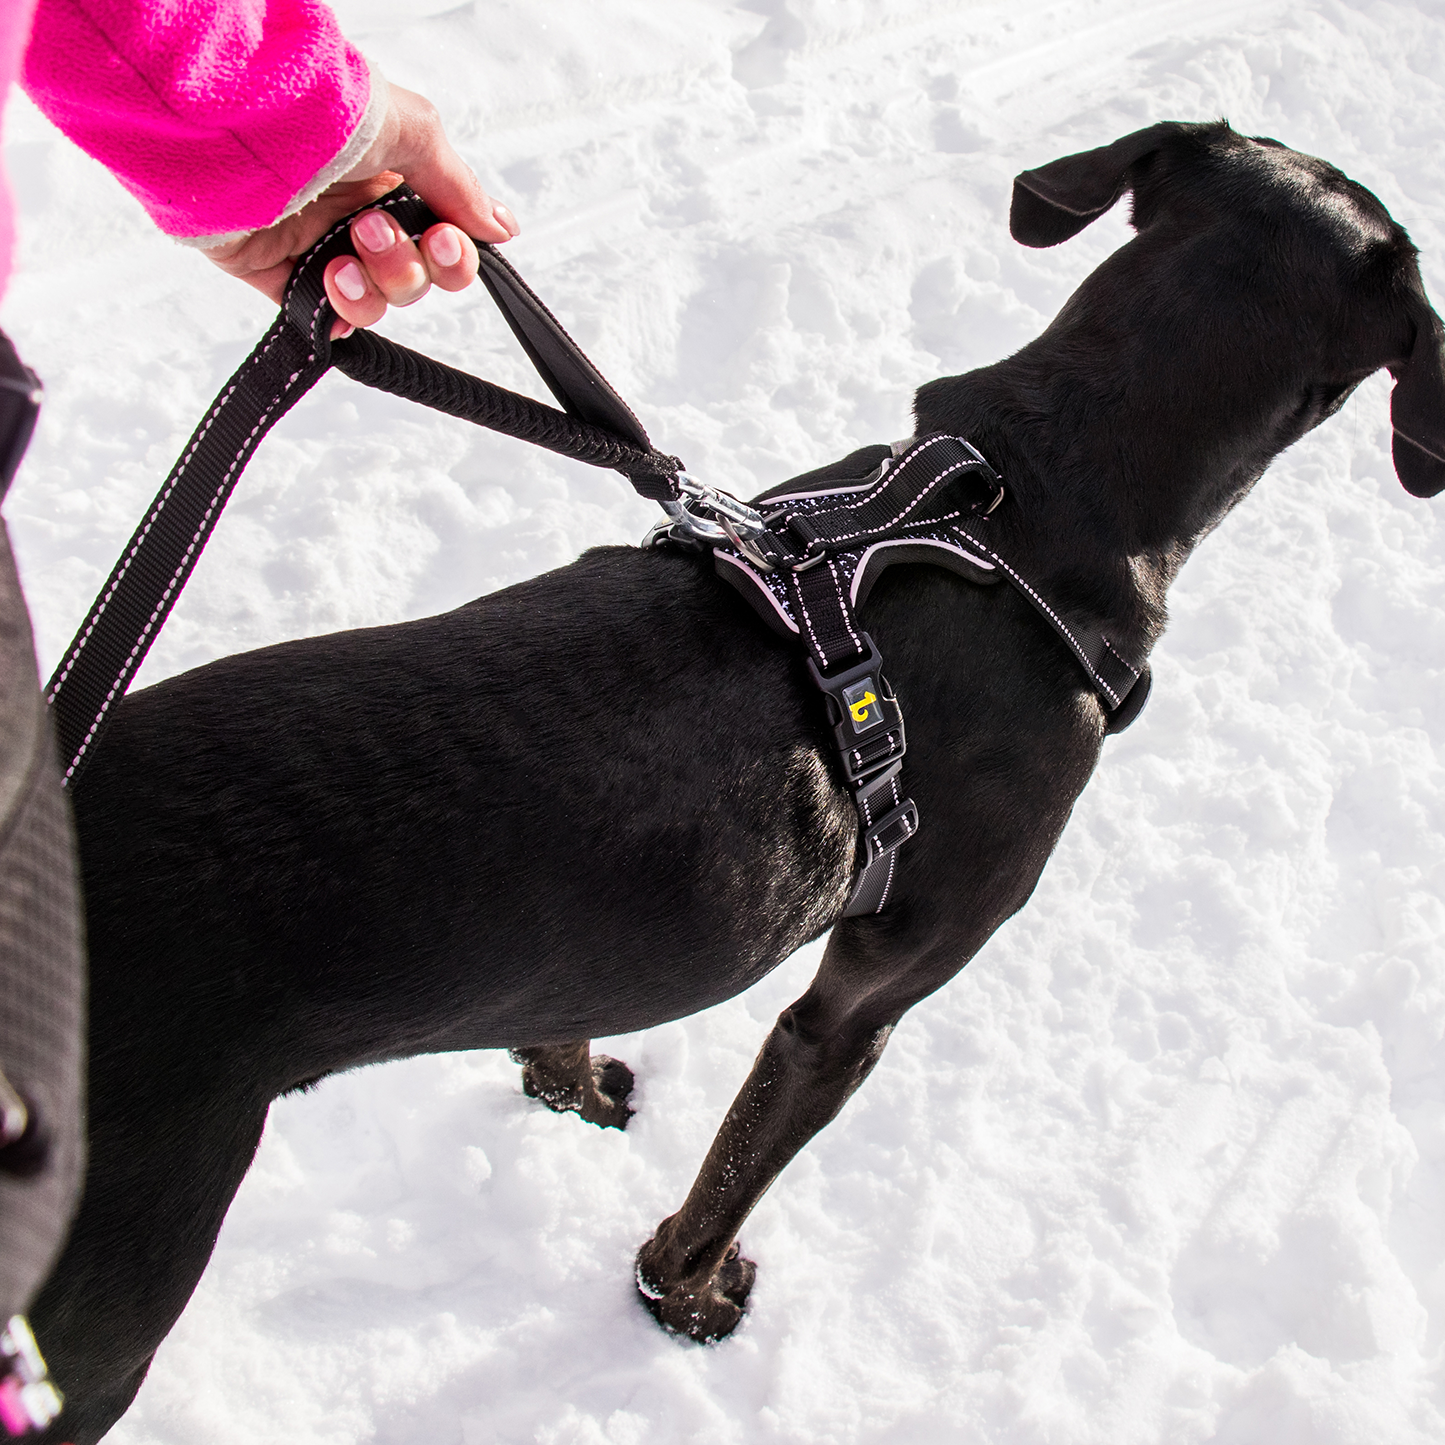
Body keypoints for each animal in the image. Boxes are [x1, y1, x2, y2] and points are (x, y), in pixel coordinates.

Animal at [25, 118, 1445, 1439]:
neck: (1033, 497)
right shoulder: (858, 1002)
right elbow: (730, 1178)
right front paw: (688, 1298)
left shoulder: (593, 946)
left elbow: (568, 1015)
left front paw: (571, 1088)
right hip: (110, 1281)